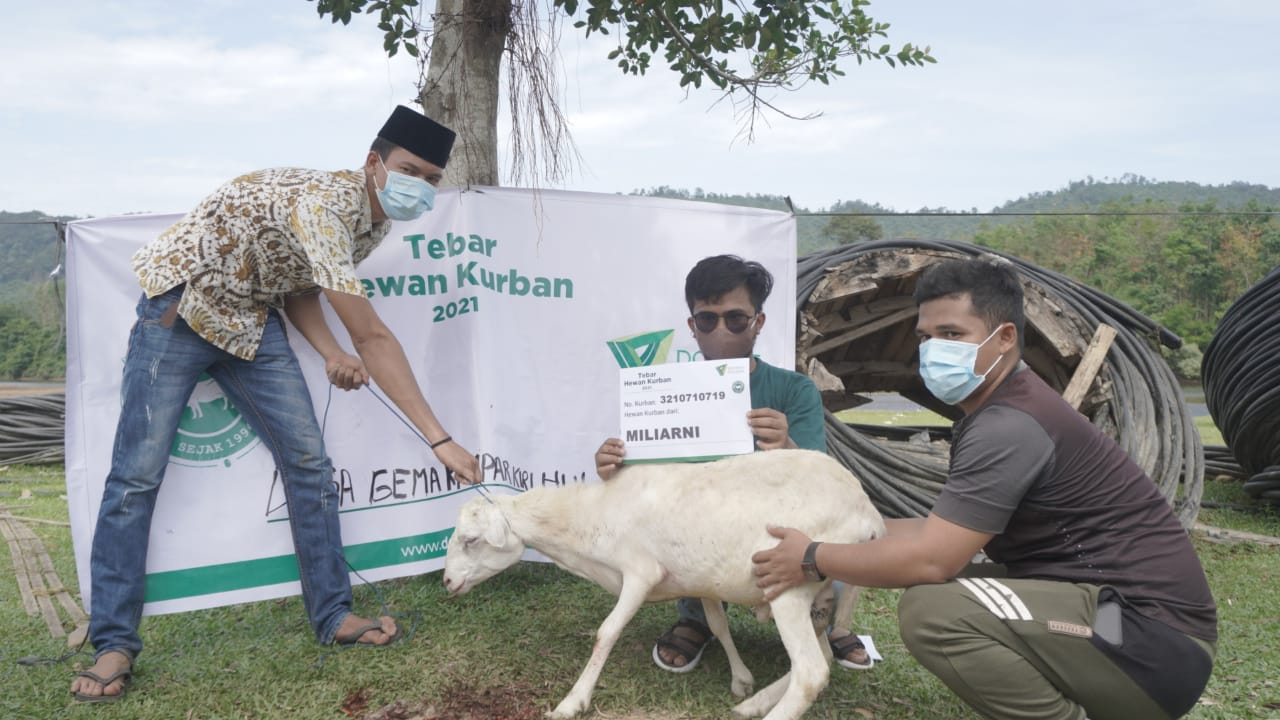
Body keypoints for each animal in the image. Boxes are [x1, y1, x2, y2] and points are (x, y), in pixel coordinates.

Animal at [445, 445, 885, 712]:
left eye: (471, 540)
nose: (448, 583)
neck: (590, 517)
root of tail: (868, 512)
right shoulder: (703, 580)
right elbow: (718, 625)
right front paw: (741, 680)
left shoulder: (640, 573)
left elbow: (606, 633)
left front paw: (572, 702)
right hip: (821, 594)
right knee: (822, 656)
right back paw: (754, 703)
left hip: (790, 584)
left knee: (812, 672)